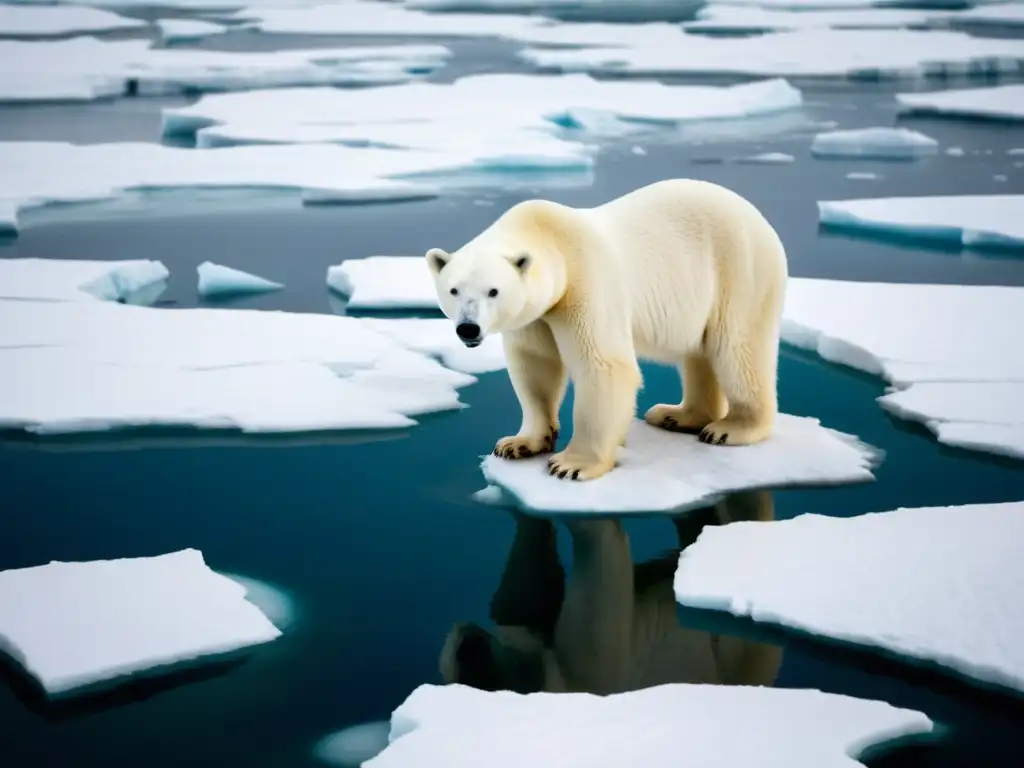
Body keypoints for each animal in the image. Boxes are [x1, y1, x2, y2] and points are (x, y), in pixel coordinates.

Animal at [428, 180, 786, 481]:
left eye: (493, 291)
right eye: (454, 290)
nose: (468, 328)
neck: (549, 235)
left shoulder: (586, 283)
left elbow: (603, 366)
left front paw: (570, 465)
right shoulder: (534, 316)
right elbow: (535, 367)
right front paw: (517, 443)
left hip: (739, 270)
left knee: (737, 349)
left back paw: (730, 428)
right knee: (700, 352)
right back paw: (677, 415)